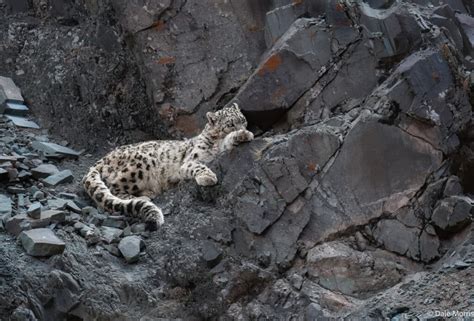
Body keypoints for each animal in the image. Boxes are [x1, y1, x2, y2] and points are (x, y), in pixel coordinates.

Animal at [82, 102, 252, 228]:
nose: (243, 128)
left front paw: (243, 135)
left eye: (243, 119)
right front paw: (208, 176)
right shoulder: (190, 160)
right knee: (113, 185)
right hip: (140, 164)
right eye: (230, 124)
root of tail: (103, 158)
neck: (215, 143)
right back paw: (144, 197)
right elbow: (197, 165)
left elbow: (226, 144)